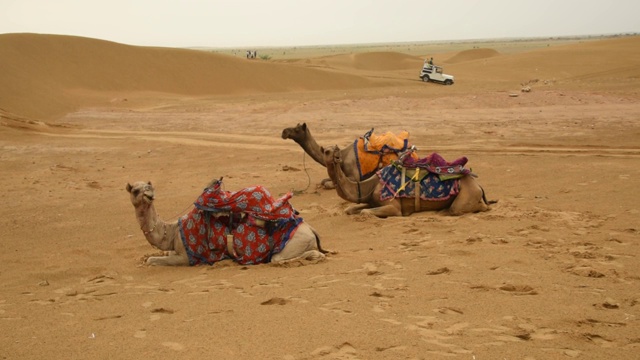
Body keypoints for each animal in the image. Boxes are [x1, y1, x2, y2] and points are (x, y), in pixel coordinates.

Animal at [128, 181, 332, 266]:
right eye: (135, 190)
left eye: (150, 187)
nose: (149, 194)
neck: (171, 233)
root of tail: (311, 229)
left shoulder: (187, 257)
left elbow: (152, 261)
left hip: (293, 243)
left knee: (278, 258)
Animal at [282, 122, 416, 188]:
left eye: (297, 129)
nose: (284, 132)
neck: (342, 156)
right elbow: (324, 181)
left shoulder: (354, 177)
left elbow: (328, 184)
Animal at [322, 146, 492, 218]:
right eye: (326, 151)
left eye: (333, 151)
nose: (334, 154)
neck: (368, 186)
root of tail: (478, 185)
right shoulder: (371, 201)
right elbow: (350, 209)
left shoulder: (393, 207)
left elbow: (365, 212)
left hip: (467, 194)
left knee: (467, 208)